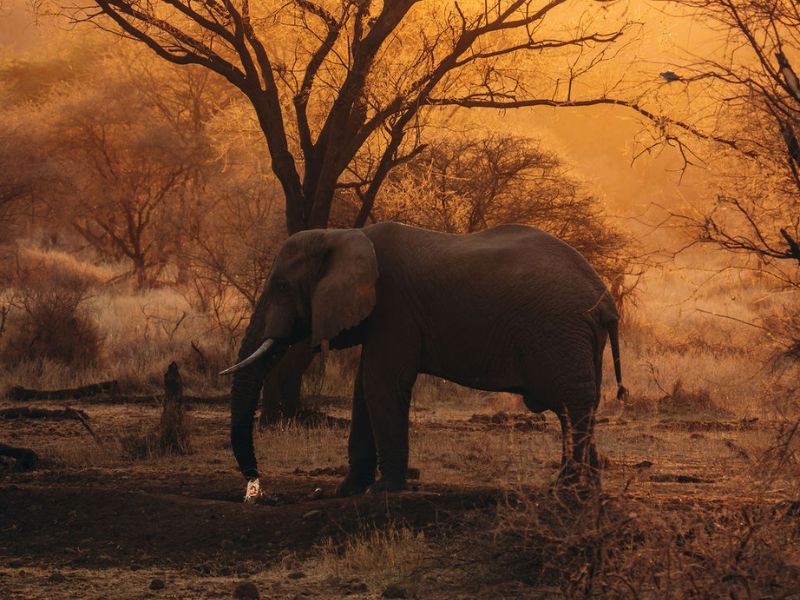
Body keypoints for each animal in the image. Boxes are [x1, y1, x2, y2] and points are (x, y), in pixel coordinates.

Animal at [222, 222, 626, 501]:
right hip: (576, 338)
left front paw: (383, 491)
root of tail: (605, 299)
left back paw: (566, 490)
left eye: (282, 286)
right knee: (577, 404)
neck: (342, 234)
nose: (256, 489)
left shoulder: (394, 308)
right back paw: (585, 490)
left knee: (571, 403)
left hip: (559, 331)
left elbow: (382, 383)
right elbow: (364, 390)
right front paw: (347, 491)